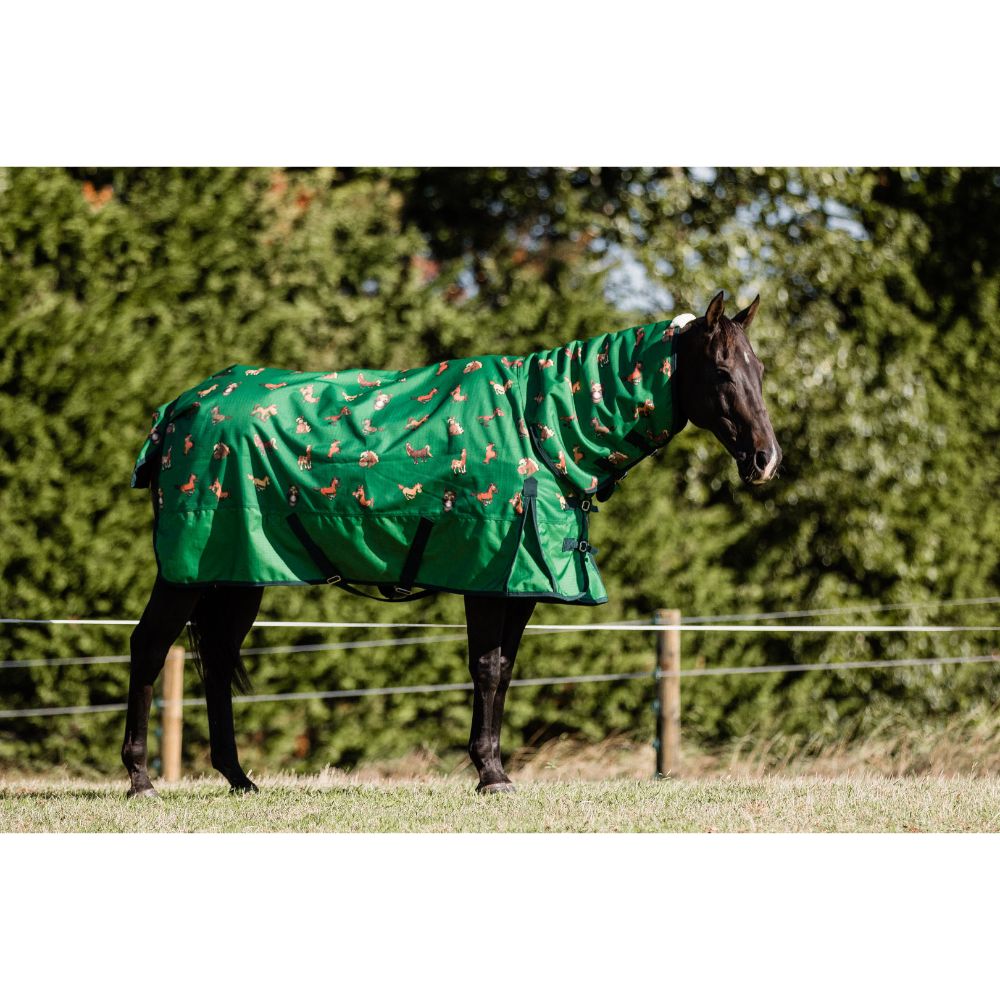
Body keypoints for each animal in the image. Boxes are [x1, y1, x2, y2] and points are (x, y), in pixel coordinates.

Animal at [121, 291, 781, 796]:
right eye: (722, 372)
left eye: (760, 372)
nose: (766, 460)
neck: (539, 428)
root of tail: (182, 407)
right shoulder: (486, 577)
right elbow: (486, 668)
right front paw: (491, 775)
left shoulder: (519, 584)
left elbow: (505, 670)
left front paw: (493, 766)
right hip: (187, 570)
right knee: (149, 647)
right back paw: (140, 780)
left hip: (235, 574)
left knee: (215, 659)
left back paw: (239, 779)